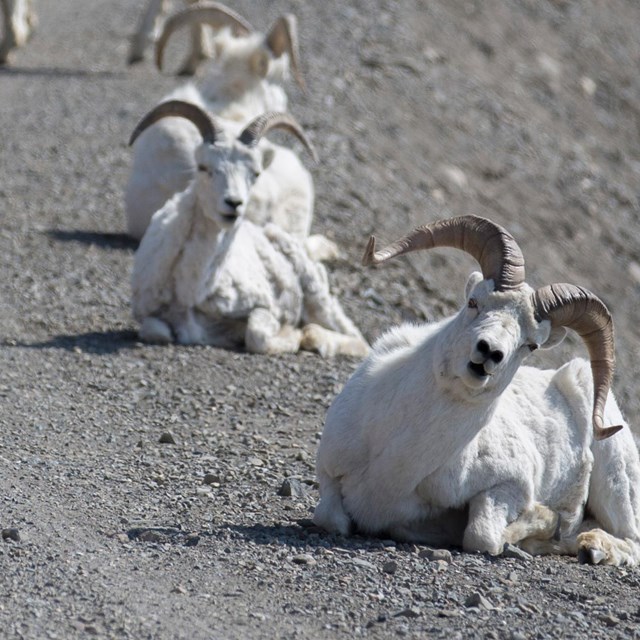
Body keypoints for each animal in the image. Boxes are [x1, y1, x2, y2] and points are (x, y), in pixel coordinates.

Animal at [314, 218, 640, 568]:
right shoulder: (329, 475)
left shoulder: (508, 485)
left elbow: (481, 536)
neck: (395, 459)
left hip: (615, 481)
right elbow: (329, 518)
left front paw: (543, 523)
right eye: (474, 302)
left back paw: (591, 546)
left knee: (630, 540)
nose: (488, 353)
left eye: (530, 344)